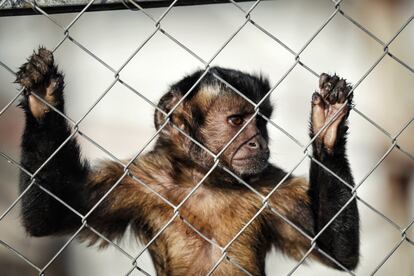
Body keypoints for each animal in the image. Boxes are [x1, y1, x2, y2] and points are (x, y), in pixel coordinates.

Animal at [17, 48, 360, 274]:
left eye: (260, 122)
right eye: (237, 120)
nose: (258, 141)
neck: (205, 179)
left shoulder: (270, 187)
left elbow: (337, 251)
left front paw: (328, 130)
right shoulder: (139, 180)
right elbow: (51, 214)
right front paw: (42, 99)